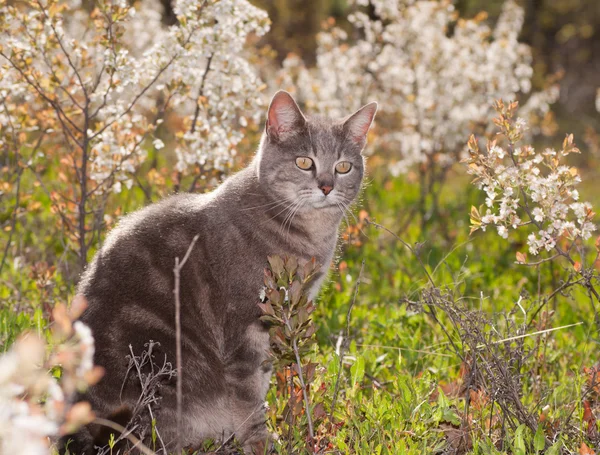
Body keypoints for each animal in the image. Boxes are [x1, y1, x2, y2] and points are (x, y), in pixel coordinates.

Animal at [63, 91, 378, 454]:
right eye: (304, 162)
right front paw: (260, 440)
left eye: (343, 166)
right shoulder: (245, 323)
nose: (326, 186)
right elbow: (248, 393)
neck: (308, 235)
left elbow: (261, 380)